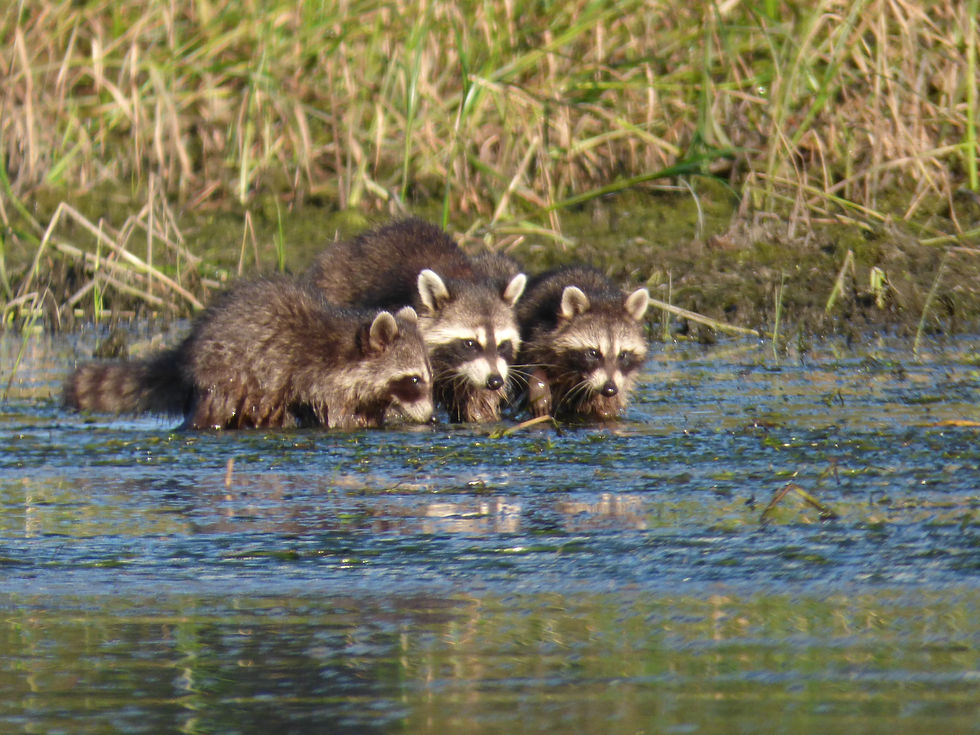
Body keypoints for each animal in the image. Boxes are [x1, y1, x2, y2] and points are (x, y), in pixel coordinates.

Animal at [64, 276, 434, 430]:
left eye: (428, 378)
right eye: (414, 380)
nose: (431, 416)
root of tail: (188, 347)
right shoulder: (324, 381)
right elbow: (338, 416)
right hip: (227, 375)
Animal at [516, 266, 650, 422]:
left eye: (623, 355)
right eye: (593, 353)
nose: (610, 389)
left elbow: (607, 406)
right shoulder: (539, 331)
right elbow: (529, 364)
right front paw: (539, 385)